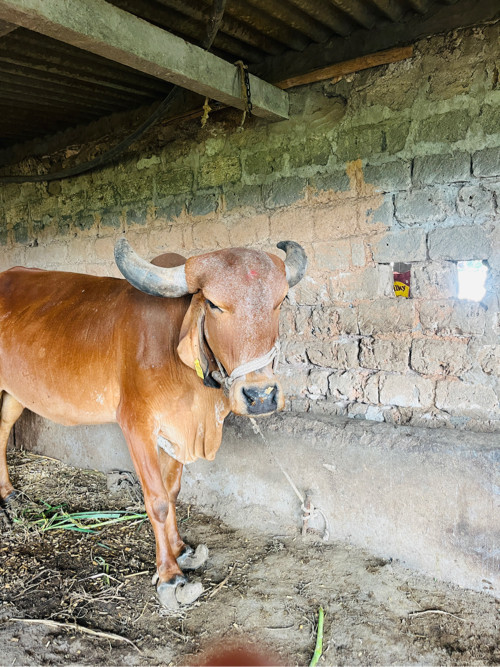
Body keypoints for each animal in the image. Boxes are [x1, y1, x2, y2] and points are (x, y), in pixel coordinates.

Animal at [0, 240, 306, 612]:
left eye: (280, 302)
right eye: (214, 304)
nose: (260, 395)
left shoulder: (178, 428)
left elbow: (173, 492)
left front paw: (181, 550)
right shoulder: (137, 426)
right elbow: (158, 500)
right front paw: (170, 577)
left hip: (16, 391)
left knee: (3, 427)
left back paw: (9, 493)